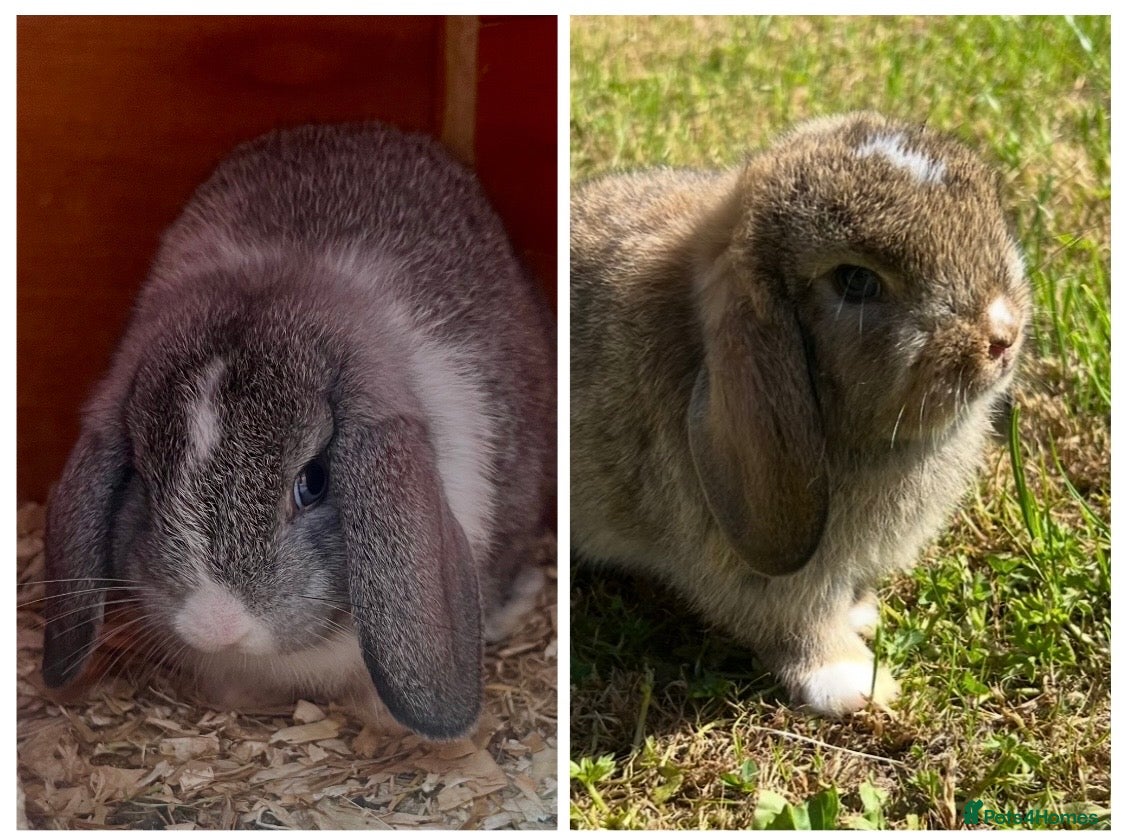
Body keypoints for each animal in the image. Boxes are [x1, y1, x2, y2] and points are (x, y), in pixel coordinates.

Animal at [571, 112, 1029, 715]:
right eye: (856, 281)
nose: (1002, 337)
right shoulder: (766, 576)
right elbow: (799, 624)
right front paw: (856, 684)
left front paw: (862, 613)